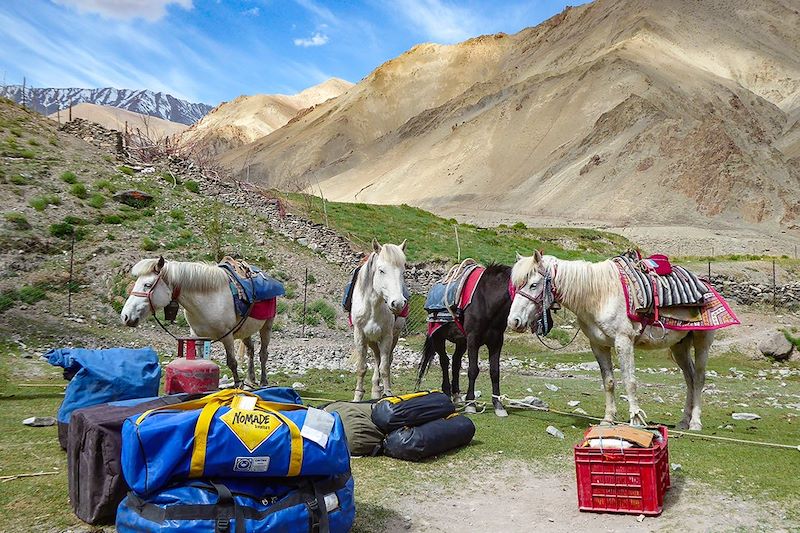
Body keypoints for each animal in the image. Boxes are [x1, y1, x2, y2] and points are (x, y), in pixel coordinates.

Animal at [348, 240, 410, 400]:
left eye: (403, 272)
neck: (372, 306)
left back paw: (378, 389)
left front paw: (388, 393)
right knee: (376, 358)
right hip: (371, 340)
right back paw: (376, 389)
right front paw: (358, 396)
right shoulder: (360, 335)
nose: (398, 303)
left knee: (383, 360)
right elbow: (361, 367)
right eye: (381, 270)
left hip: (393, 336)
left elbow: (384, 367)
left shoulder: (387, 336)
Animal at [416, 264, 516, 418]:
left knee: (456, 362)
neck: (487, 302)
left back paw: (457, 395)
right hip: (439, 338)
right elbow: (473, 370)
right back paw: (447, 393)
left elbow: (495, 371)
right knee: (444, 361)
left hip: (461, 342)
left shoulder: (496, 341)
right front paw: (471, 404)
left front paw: (498, 405)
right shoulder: (473, 340)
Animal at [510, 251, 740, 430]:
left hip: (702, 341)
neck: (599, 295)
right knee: (689, 378)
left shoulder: (624, 341)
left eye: (533, 285)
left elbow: (630, 381)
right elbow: (609, 382)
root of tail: (707, 286)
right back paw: (684, 421)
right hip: (680, 347)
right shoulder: (598, 345)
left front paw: (635, 420)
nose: (514, 321)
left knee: (699, 378)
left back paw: (695, 423)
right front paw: (608, 419)